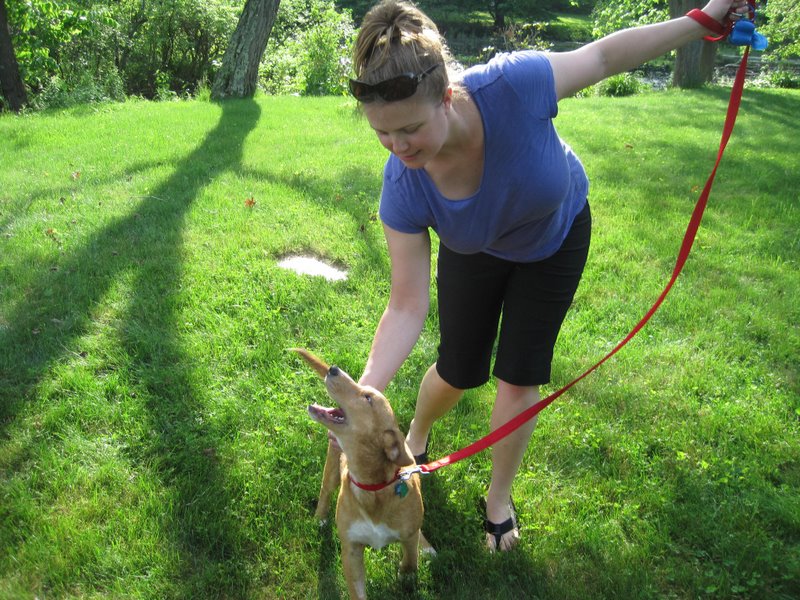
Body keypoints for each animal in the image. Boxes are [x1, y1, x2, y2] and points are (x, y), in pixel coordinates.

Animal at [294, 350, 434, 596]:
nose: (333, 368)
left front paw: (407, 576)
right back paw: (320, 518)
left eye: (368, 398)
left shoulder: (407, 537)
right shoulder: (351, 550)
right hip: (332, 464)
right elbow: (357, 590)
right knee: (325, 490)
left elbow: (410, 558)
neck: (372, 487)